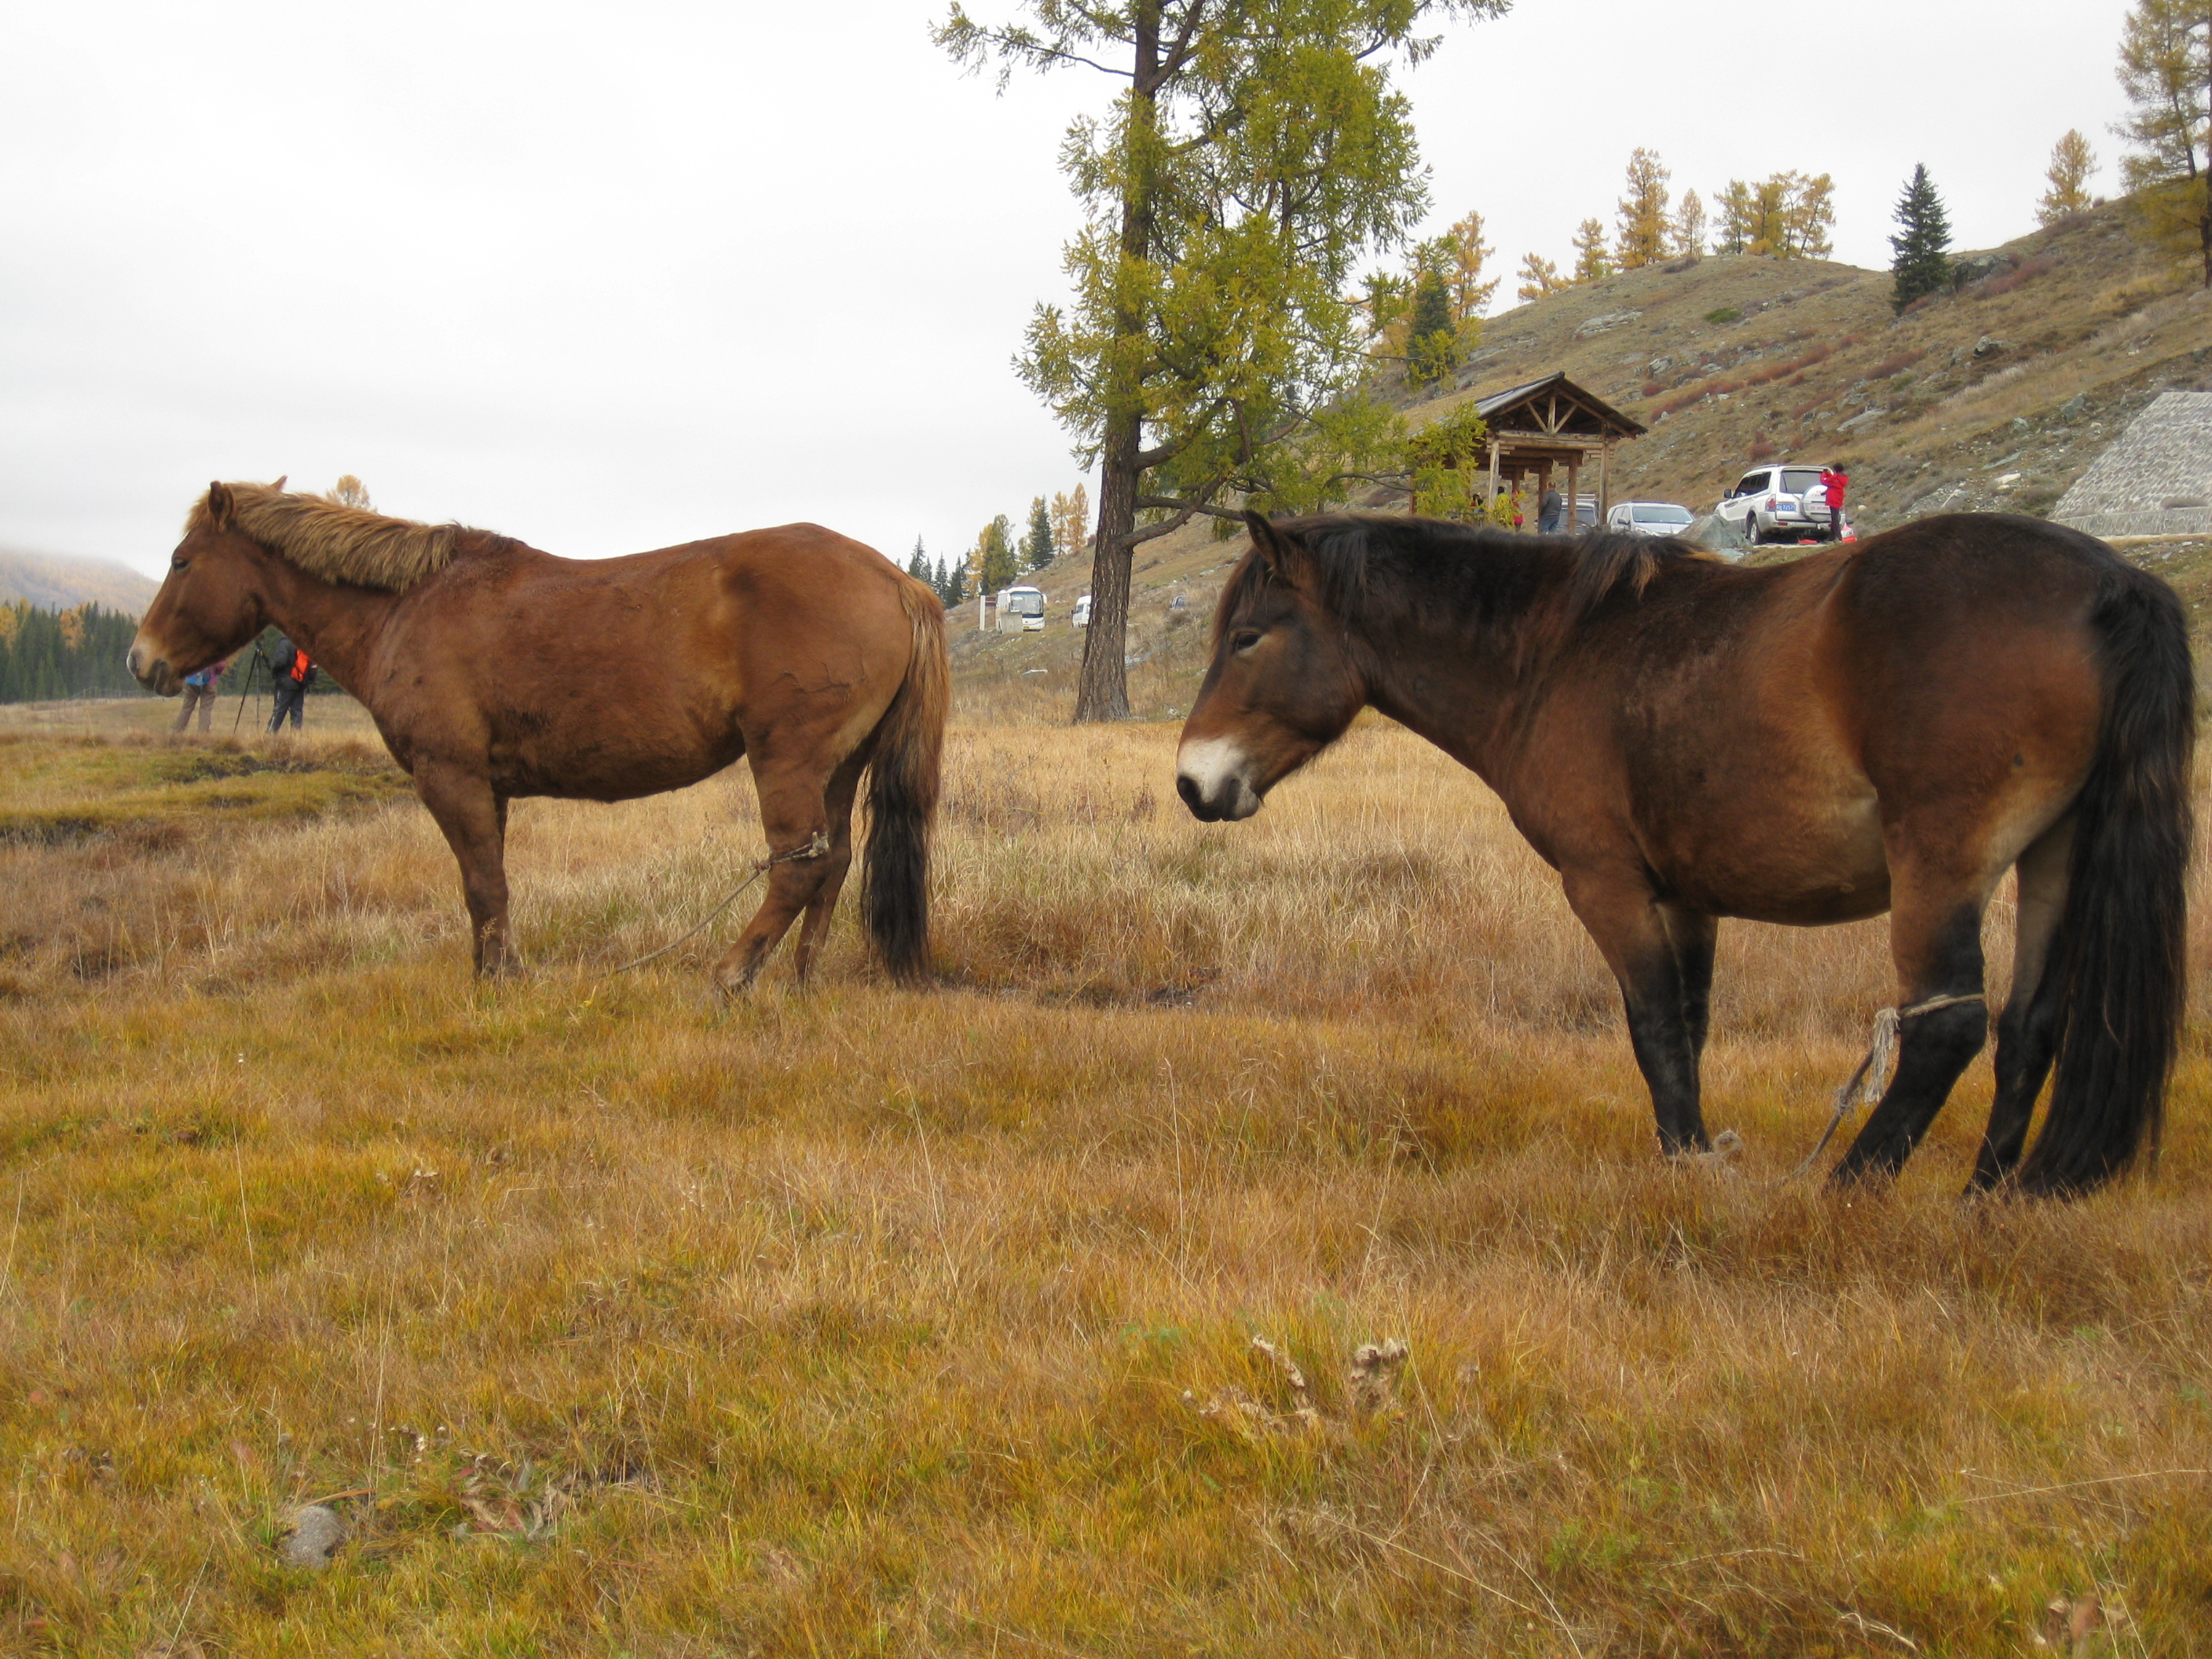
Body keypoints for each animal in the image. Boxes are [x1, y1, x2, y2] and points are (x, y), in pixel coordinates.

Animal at [129, 480, 942, 986]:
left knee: (800, 866)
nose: (143, 661)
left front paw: (499, 981)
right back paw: (799, 979)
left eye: (181, 560)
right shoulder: (486, 788)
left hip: (788, 760)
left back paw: (733, 973)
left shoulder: (451, 776)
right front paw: (492, 969)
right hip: (839, 768)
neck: (408, 606)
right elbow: (487, 884)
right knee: (833, 865)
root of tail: (896, 581)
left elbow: (483, 883)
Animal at [1185, 513, 2185, 1203]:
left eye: (1247, 637)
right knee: (2030, 1026)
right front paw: (1701, 1160)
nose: (1193, 782)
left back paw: (1844, 1193)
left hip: (1938, 869)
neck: (1556, 655)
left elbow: (1654, 1028)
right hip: (2054, 854)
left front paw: (1683, 1173)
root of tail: (2109, 580)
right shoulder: (1687, 898)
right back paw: (1983, 1203)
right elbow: (1692, 1028)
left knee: (1949, 1028)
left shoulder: (1607, 885)